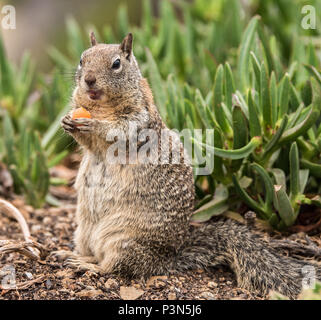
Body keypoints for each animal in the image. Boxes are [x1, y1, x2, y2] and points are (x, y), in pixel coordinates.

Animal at [58, 31, 320, 298]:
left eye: (116, 64)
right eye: (81, 59)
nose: (89, 80)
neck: (101, 106)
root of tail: (168, 258)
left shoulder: (139, 118)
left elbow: (118, 131)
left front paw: (94, 125)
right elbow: (87, 142)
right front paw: (68, 121)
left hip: (122, 240)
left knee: (117, 267)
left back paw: (89, 265)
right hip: (84, 232)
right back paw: (73, 254)